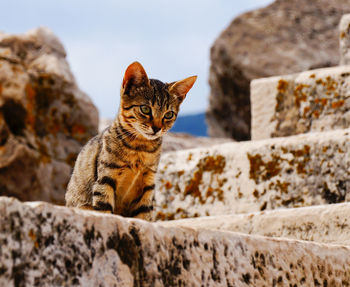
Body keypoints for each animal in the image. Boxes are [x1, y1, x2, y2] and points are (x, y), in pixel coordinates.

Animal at [65, 62, 197, 222]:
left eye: (169, 114)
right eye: (145, 109)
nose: (157, 128)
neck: (140, 148)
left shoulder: (148, 183)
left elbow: (144, 215)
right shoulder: (106, 178)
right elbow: (105, 210)